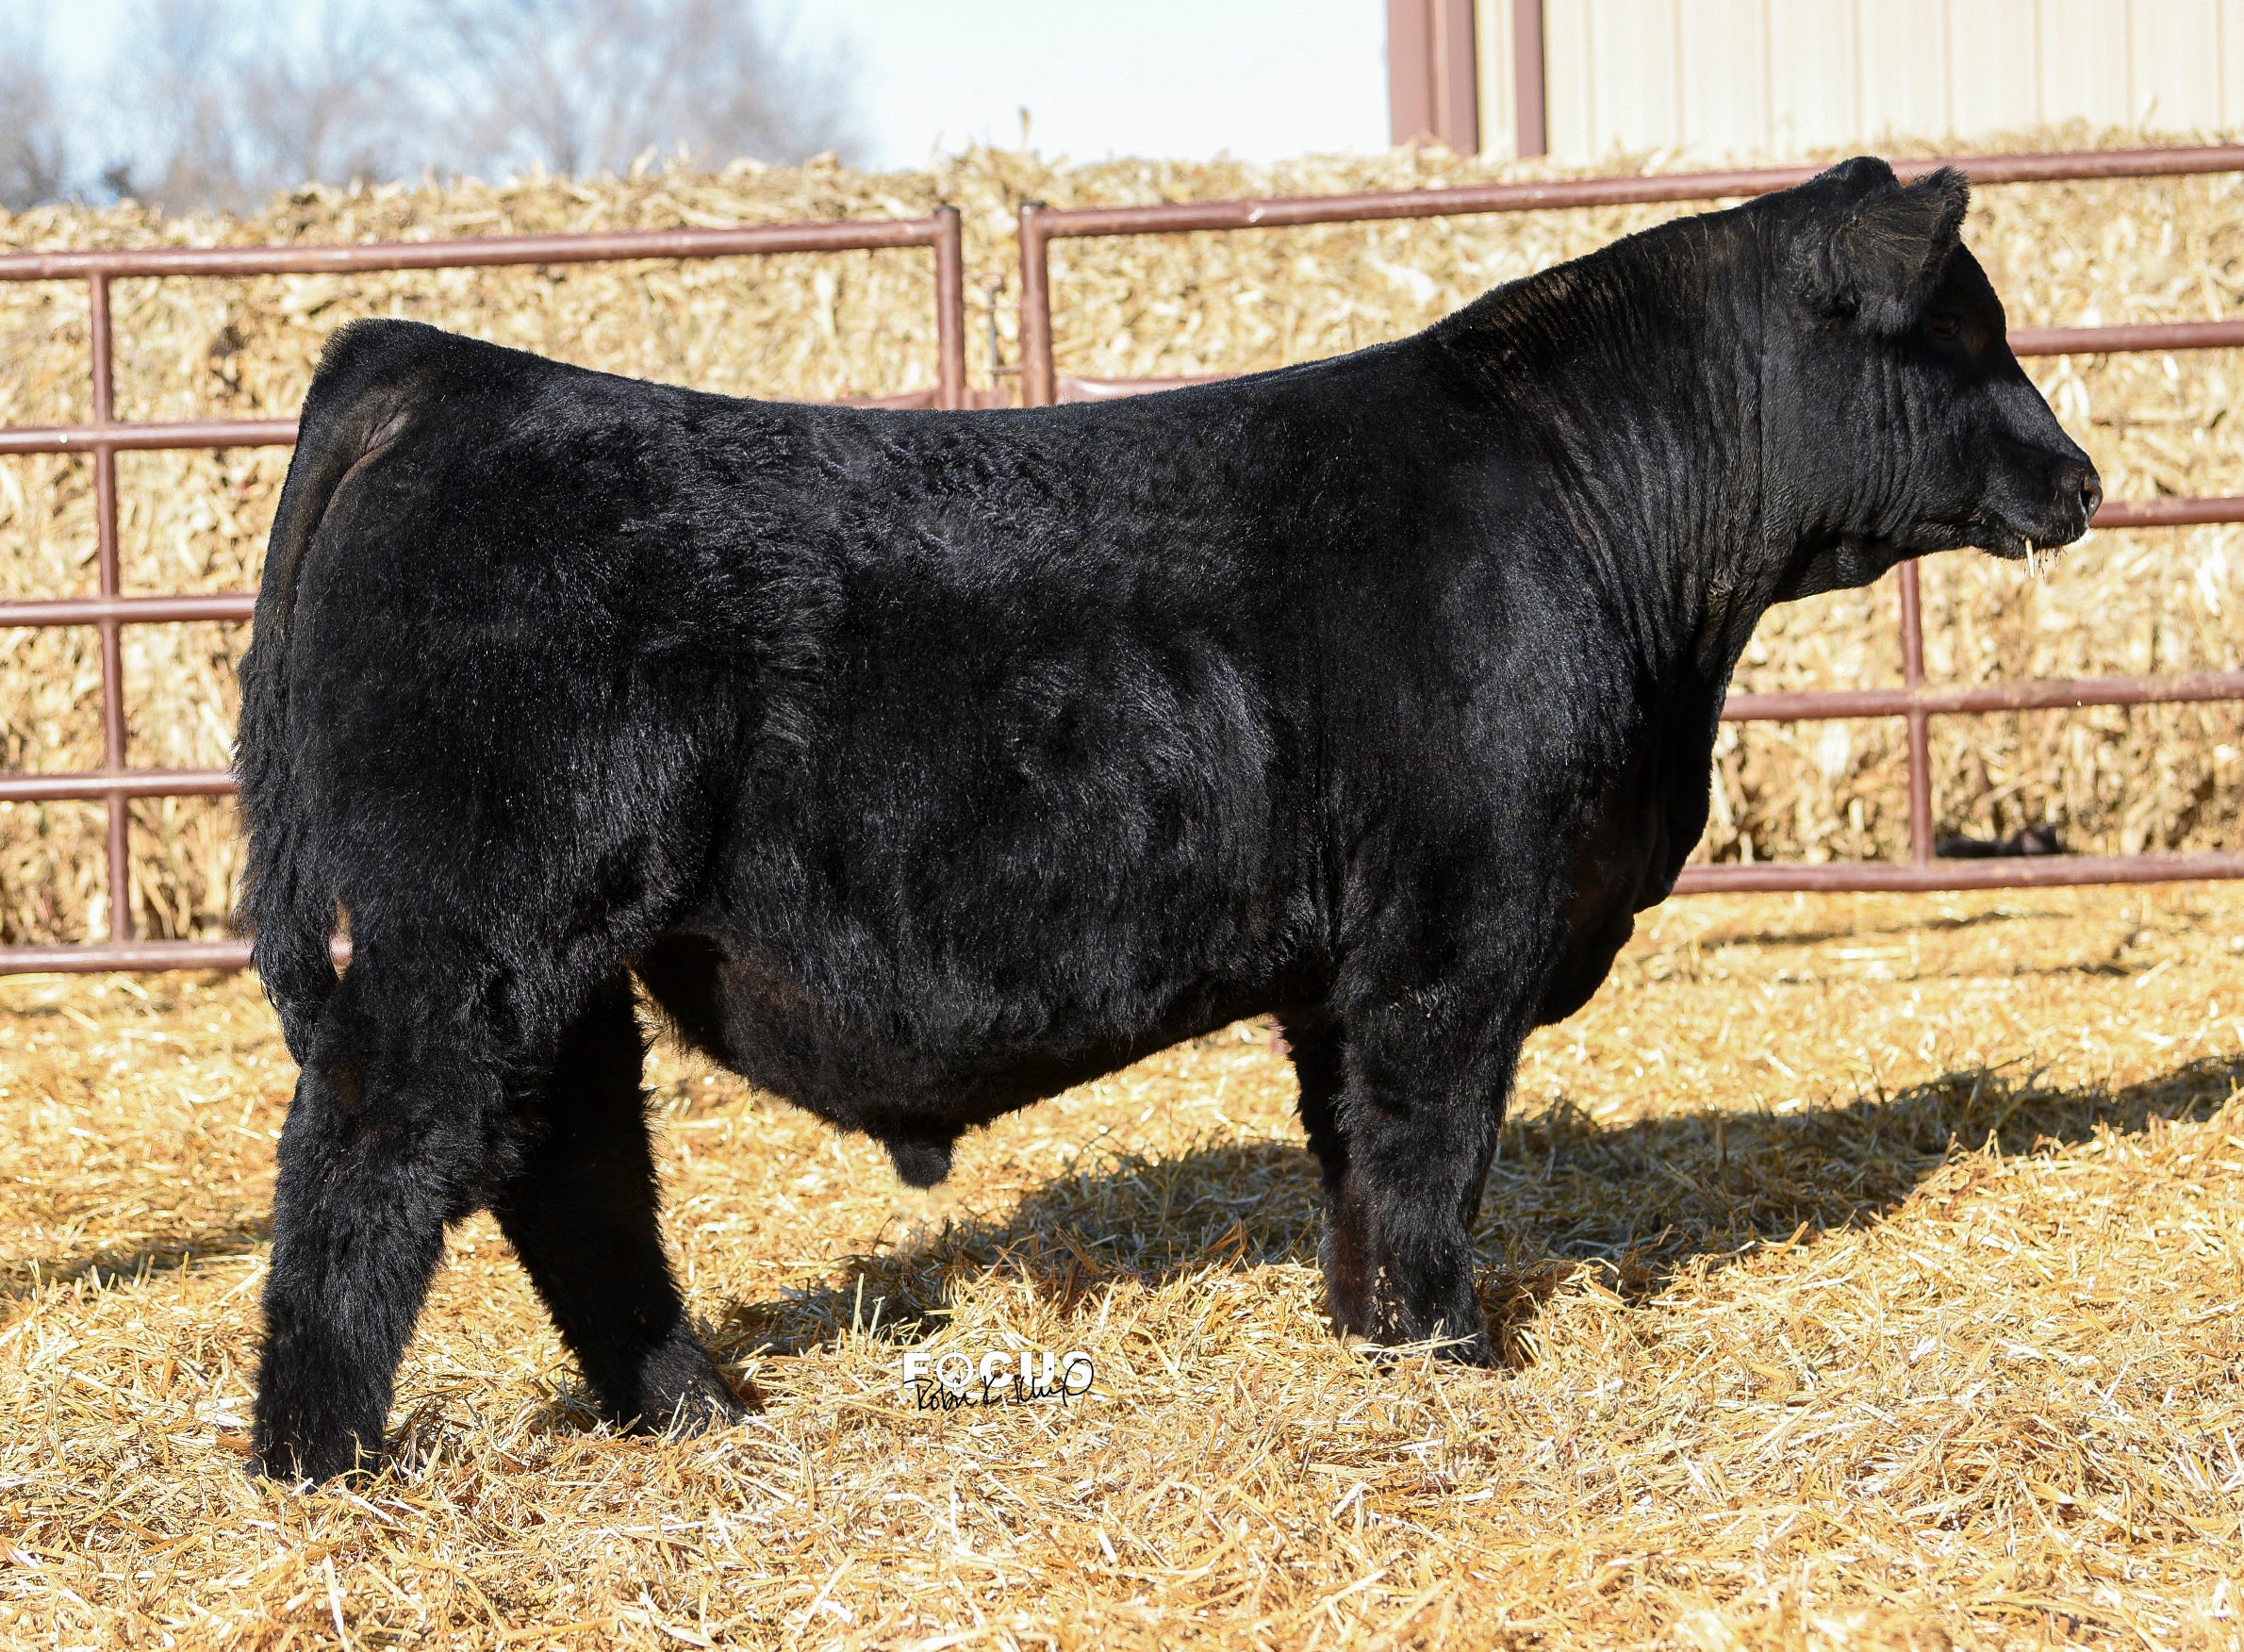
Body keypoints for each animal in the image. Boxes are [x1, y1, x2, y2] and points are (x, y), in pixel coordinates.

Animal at [236, 157, 2099, 1481]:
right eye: (1969, 338)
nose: (2082, 478)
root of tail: (439, 367)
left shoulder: (1356, 956)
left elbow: (1356, 1148)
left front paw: (1374, 1334)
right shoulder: (1461, 922)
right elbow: (1430, 1141)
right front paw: (1454, 1349)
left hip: (568, 957)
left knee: (570, 1169)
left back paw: (690, 1407)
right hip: (477, 929)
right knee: (375, 1152)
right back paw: (322, 1461)